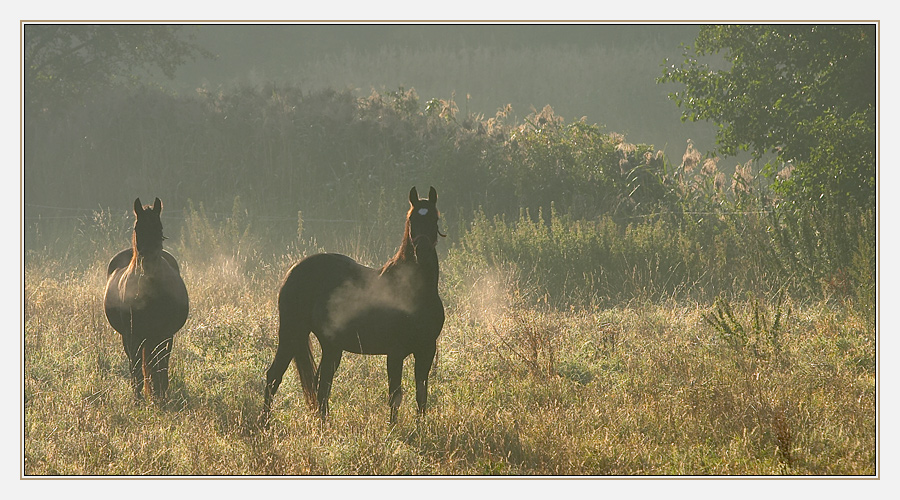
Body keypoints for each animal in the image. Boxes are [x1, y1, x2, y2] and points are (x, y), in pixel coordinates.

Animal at [103, 198, 188, 402]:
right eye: (137, 227)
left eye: (159, 227)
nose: (148, 263)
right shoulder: (133, 335)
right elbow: (137, 371)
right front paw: (138, 400)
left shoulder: (165, 334)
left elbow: (161, 369)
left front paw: (161, 397)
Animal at [264, 187, 446, 422]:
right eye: (412, 219)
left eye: (434, 218)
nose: (421, 251)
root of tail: (293, 271)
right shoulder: (395, 352)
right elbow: (395, 396)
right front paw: (393, 428)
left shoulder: (426, 349)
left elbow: (421, 395)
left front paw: (420, 427)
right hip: (291, 334)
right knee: (274, 377)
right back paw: (264, 424)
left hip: (331, 346)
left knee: (322, 385)